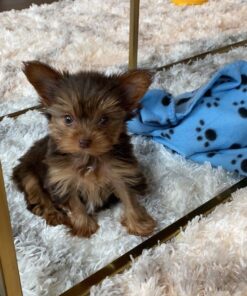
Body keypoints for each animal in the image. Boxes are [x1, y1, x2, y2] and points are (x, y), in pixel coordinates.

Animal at [12, 62, 156, 238]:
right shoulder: (62, 179)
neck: (88, 157)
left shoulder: (121, 172)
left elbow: (129, 198)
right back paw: (54, 214)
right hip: (27, 171)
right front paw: (84, 227)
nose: (84, 141)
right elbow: (75, 204)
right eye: (68, 119)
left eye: (104, 119)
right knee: (35, 194)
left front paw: (139, 224)